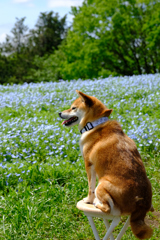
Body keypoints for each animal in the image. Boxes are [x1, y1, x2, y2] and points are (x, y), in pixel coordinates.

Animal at [59, 90, 154, 238]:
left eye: (73, 108)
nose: (59, 113)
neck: (94, 124)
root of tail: (140, 204)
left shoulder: (89, 165)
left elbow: (90, 187)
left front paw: (88, 200)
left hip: (102, 184)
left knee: (108, 208)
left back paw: (97, 204)